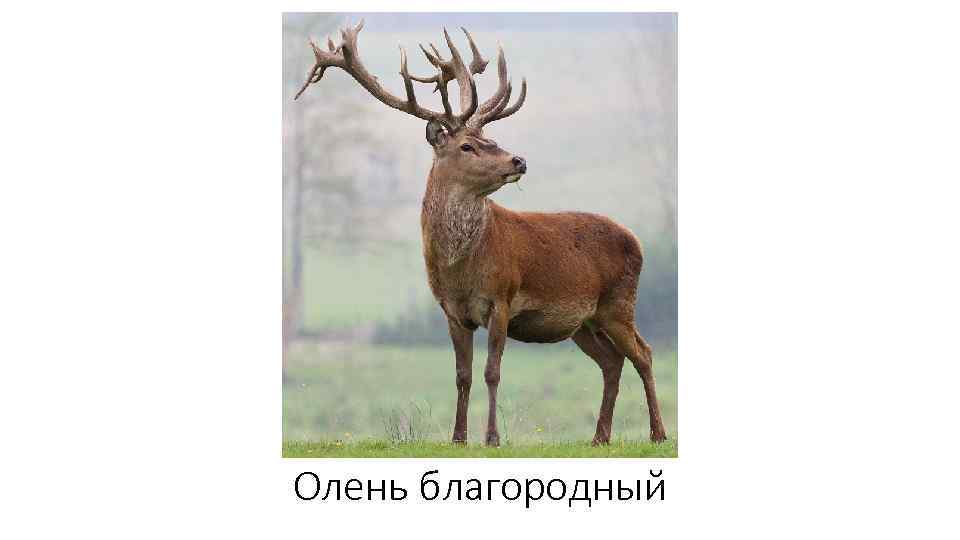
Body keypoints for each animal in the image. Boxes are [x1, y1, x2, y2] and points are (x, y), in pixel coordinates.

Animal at [295, 21, 667, 446]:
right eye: (468, 145)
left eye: (492, 139)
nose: (518, 160)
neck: (461, 269)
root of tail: (636, 240)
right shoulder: (452, 311)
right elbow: (463, 375)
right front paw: (458, 436)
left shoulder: (502, 299)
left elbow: (492, 372)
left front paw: (491, 437)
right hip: (583, 322)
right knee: (612, 361)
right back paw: (600, 437)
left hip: (619, 302)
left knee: (643, 353)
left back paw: (657, 433)